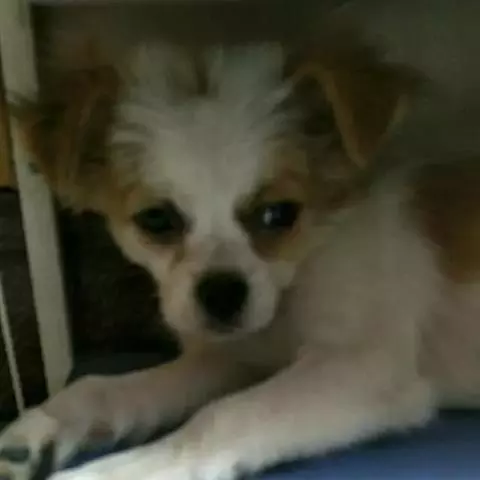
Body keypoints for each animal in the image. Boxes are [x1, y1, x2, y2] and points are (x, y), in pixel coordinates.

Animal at [1, 19, 480, 480]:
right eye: (155, 219)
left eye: (278, 213)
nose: (222, 295)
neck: (296, 282)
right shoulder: (236, 357)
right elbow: (108, 387)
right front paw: (46, 423)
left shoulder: (362, 363)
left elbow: (225, 416)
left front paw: (119, 471)